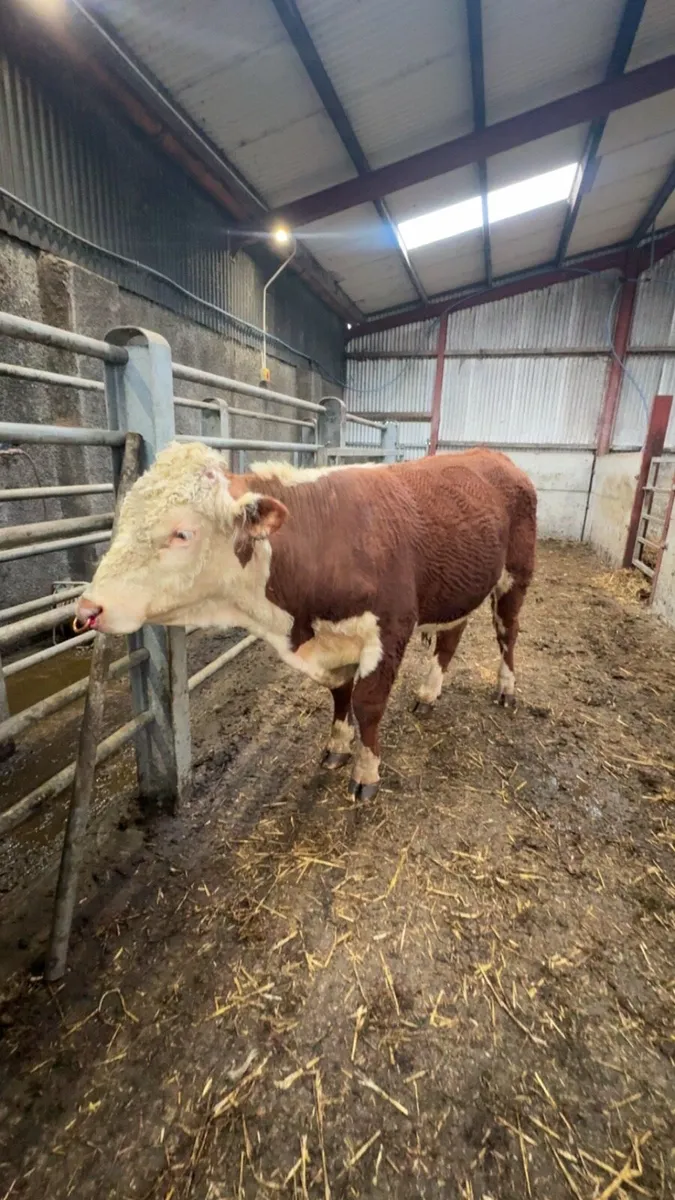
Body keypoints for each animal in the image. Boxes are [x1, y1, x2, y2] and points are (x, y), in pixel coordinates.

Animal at [75, 443, 537, 800]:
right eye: (122, 521)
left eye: (182, 533)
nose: (87, 609)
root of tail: (493, 454)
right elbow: (340, 695)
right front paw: (337, 747)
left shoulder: (391, 628)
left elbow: (368, 705)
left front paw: (366, 773)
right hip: (458, 589)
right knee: (451, 637)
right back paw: (428, 692)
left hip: (515, 576)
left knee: (508, 633)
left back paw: (506, 688)